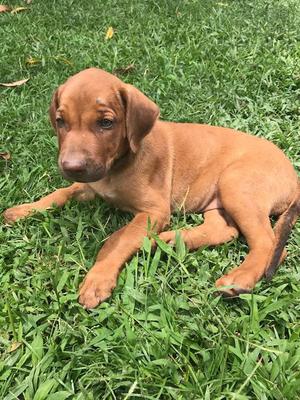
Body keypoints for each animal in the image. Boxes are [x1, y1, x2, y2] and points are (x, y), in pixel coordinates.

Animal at [2, 68, 300, 310]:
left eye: (106, 123)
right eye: (61, 121)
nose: (71, 166)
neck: (118, 165)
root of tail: (294, 175)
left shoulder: (153, 211)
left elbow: (117, 240)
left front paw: (98, 279)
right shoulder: (90, 185)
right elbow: (60, 193)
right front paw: (24, 210)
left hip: (236, 184)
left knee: (268, 243)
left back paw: (238, 279)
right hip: (219, 199)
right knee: (224, 230)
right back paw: (164, 241)